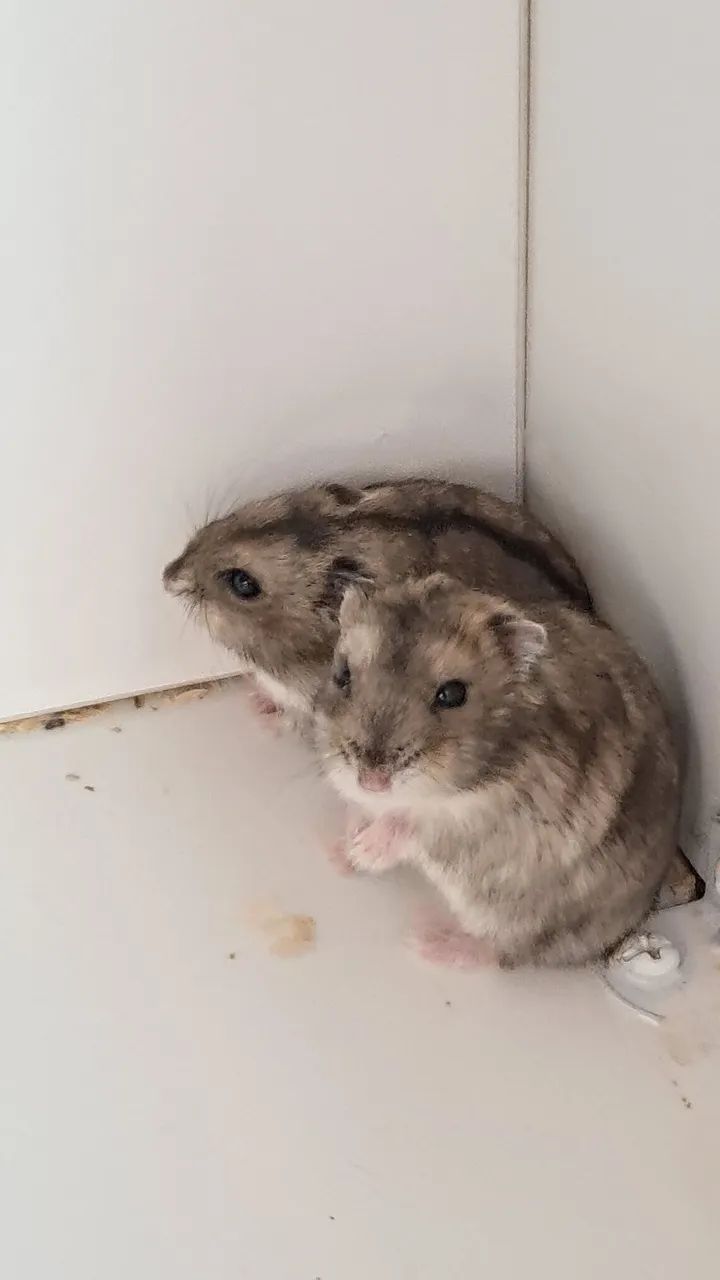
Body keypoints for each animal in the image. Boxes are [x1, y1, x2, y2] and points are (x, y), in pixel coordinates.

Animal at [314, 575, 679, 969]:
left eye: (452, 694)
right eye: (342, 675)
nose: (372, 781)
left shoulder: (485, 822)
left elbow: (416, 823)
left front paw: (365, 851)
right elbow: (362, 809)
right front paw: (348, 847)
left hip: (520, 918)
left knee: (503, 952)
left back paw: (427, 940)